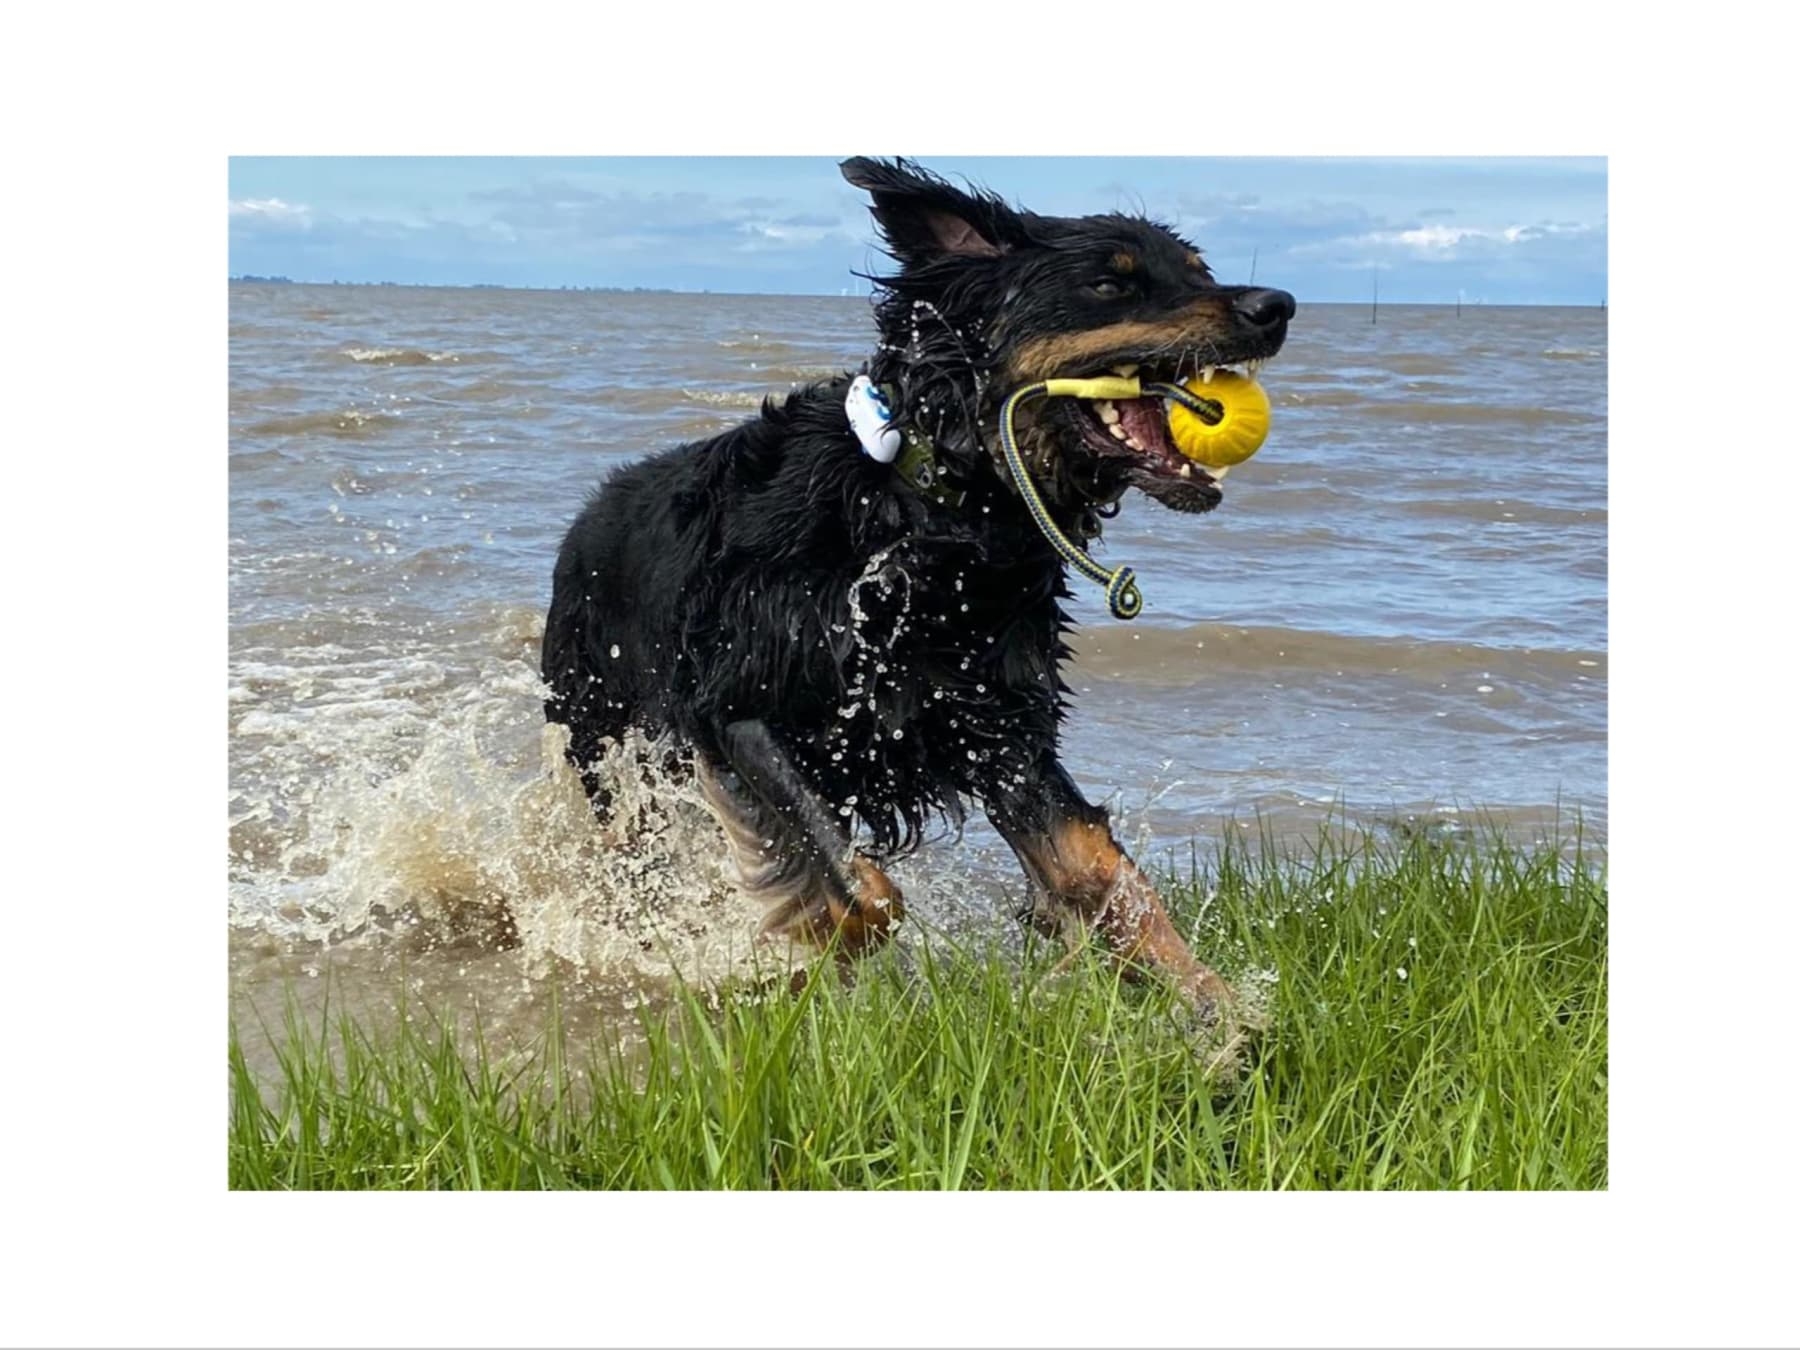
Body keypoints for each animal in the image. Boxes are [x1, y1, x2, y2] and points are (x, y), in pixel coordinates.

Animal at [540, 158, 1288, 1008]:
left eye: (1199, 271)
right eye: (1110, 283)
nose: (1277, 306)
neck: (934, 515)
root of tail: (584, 520)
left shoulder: (998, 724)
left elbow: (1103, 872)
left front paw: (1216, 1007)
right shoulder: (737, 705)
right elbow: (862, 888)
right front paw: (815, 947)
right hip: (605, 737)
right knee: (634, 855)